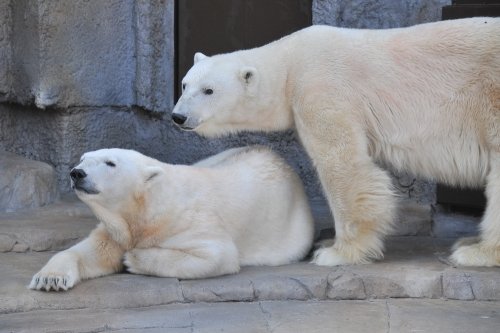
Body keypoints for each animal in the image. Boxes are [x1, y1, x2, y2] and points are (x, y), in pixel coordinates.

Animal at [28, 147, 312, 290]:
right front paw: (49, 279)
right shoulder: (116, 229)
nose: (77, 172)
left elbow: (216, 255)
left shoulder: (190, 221)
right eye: (84, 158)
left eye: (110, 163)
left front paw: (132, 259)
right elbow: (91, 251)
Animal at [172, 18, 500, 268]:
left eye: (209, 90)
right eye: (185, 84)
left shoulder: (321, 88)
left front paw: (336, 252)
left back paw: (476, 252)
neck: (290, 61)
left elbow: (342, 163)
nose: (178, 116)